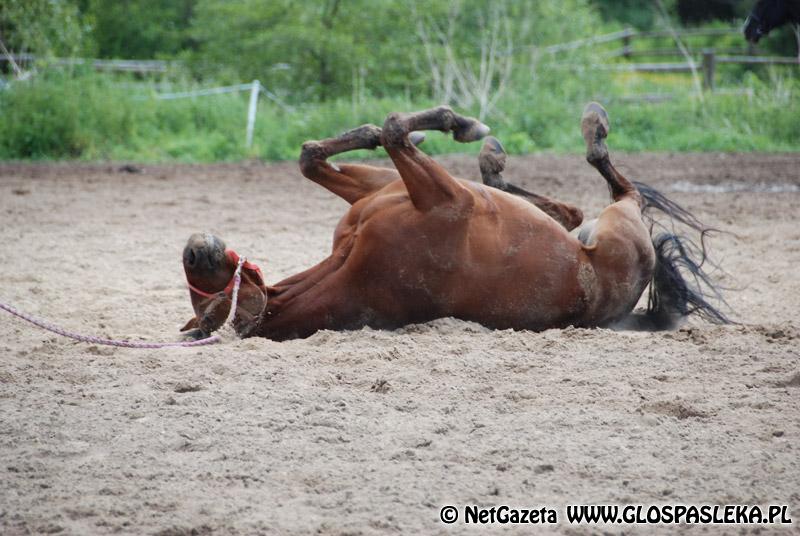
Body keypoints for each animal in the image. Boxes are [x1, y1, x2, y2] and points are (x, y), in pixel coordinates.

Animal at [181, 102, 732, 342]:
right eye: (209, 307)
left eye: (201, 283)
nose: (192, 248)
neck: (348, 266)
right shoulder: (449, 198)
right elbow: (394, 128)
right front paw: (458, 122)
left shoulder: (385, 189)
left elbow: (314, 155)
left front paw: (409, 131)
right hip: (620, 226)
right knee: (620, 190)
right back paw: (588, 128)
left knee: (571, 210)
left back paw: (496, 163)